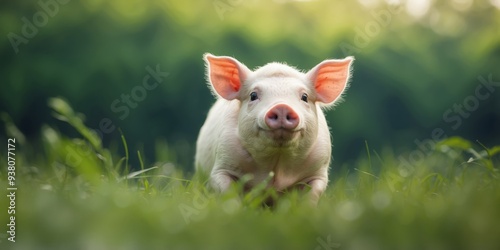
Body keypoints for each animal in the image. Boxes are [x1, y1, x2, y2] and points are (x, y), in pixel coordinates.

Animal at [193, 53, 354, 204]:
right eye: (253, 95)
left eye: (304, 97)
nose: (282, 106)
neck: (277, 163)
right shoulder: (222, 165)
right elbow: (228, 194)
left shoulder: (317, 172)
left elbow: (311, 195)